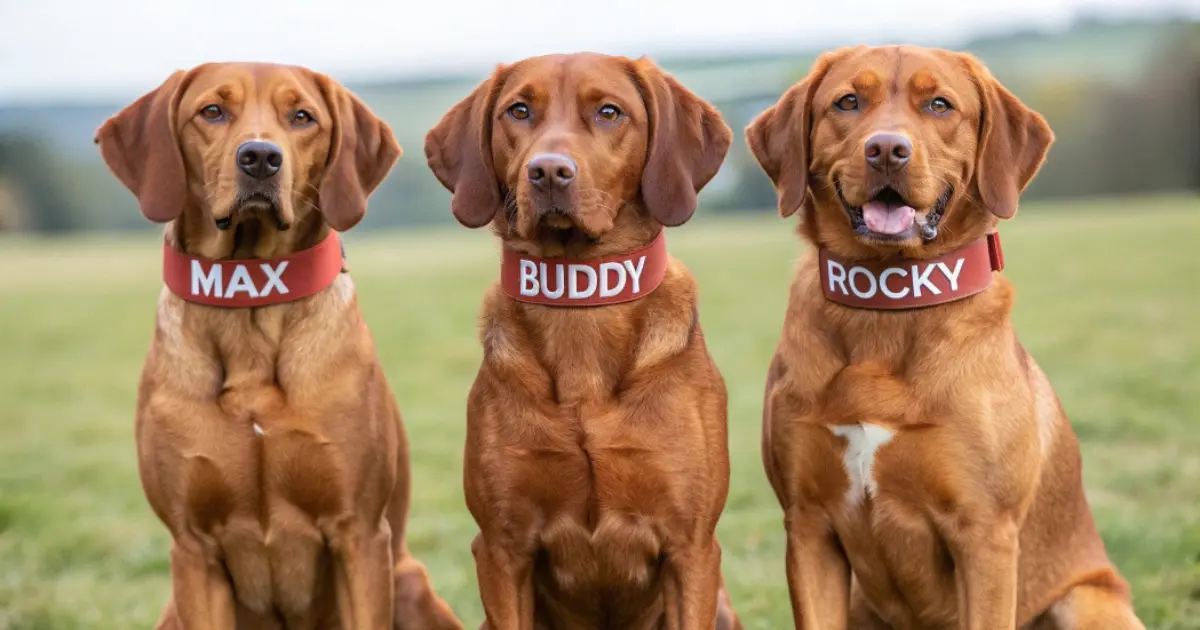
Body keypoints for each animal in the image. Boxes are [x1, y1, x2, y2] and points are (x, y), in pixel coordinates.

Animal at [94, 62, 463, 628]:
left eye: (302, 117)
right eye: (212, 110)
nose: (261, 157)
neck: (252, 295)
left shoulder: (358, 534)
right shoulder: (193, 548)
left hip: (410, 584)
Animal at [422, 54, 739, 628]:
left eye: (609, 112)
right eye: (518, 110)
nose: (548, 171)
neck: (580, 307)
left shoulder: (691, 548)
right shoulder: (501, 549)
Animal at [744, 45, 1147, 628]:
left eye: (939, 105)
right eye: (848, 102)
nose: (887, 150)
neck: (889, 300)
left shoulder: (985, 535)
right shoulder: (808, 527)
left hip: (1087, 602)